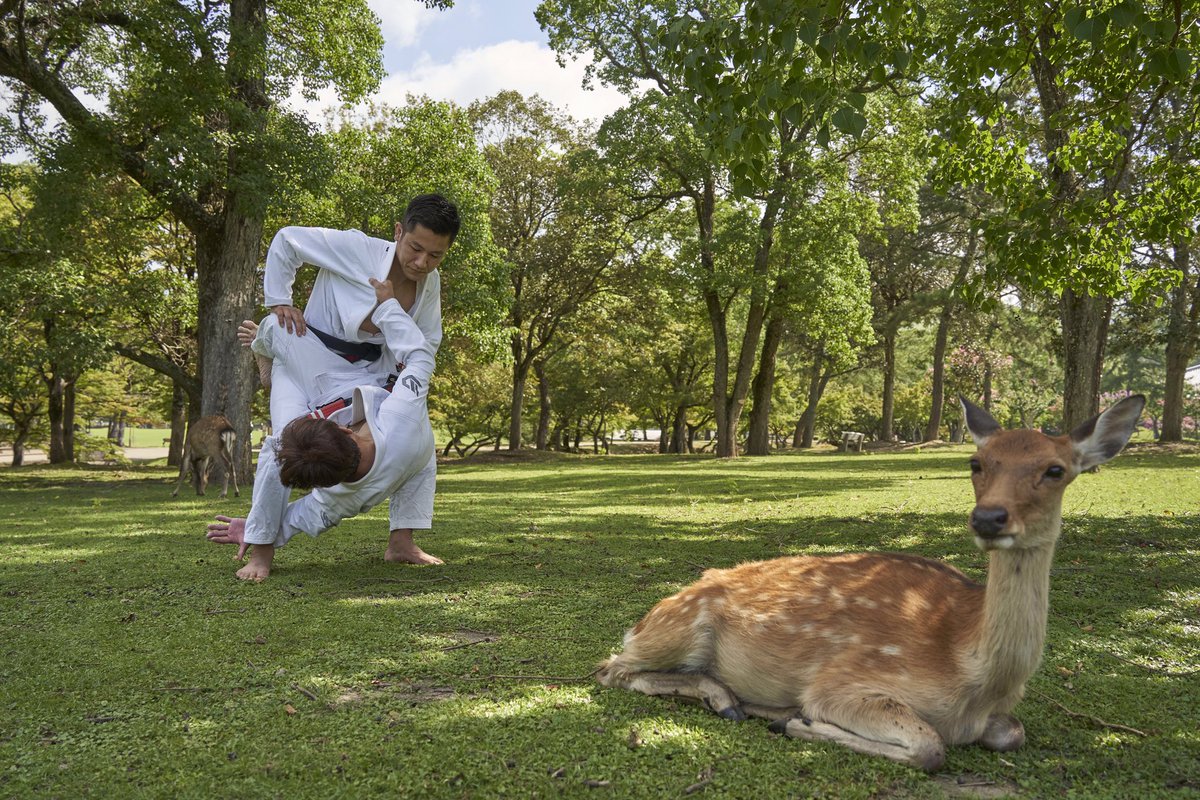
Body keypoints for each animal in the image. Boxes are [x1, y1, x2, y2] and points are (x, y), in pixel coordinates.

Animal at [597, 394, 1145, 771]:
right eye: (975, 463)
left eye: (1056, 469)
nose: (989, 518)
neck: (974, 679)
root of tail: (644, 618)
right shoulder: (843, 682)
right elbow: (930, 746)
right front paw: (795, 720)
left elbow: (1013, 731)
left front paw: (784, 717)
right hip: (681, 629)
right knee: (611, 669)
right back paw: (729, 701)